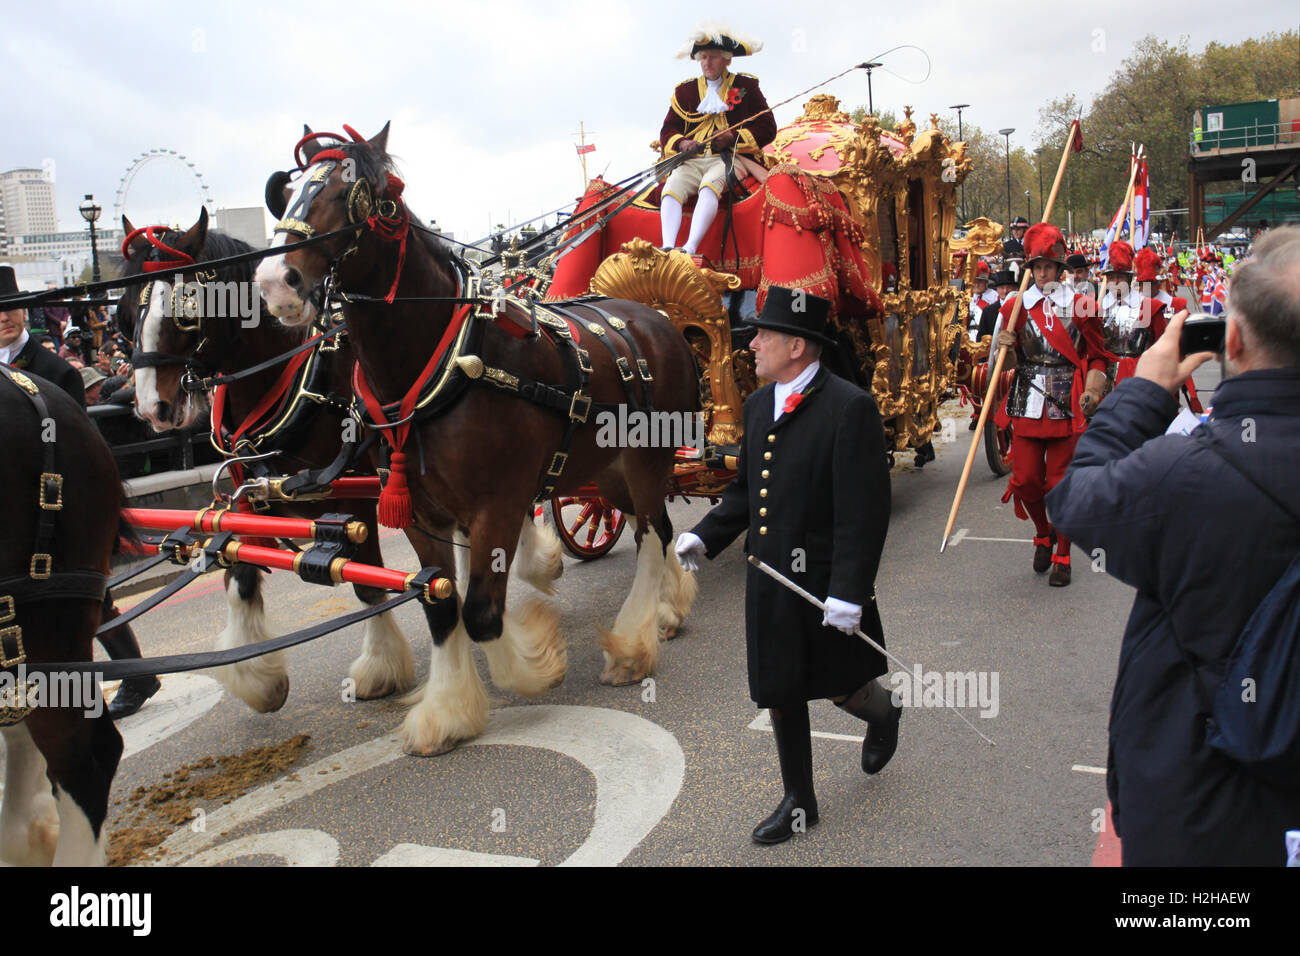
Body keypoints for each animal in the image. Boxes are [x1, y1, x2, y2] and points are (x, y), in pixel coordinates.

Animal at [256, 125, 702, 754]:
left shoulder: (499, 504)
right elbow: (443, 607)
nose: (275, 282)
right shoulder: (420, 516)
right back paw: (665, 610)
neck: (439, 363)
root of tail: (658, 319)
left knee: (653, 536)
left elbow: (483, 613)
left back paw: (632, 644)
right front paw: (447, 712)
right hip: (606, 470)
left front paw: (536, 662)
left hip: (646, 457)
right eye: (288, 195)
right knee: (650, 526)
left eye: (353, 194)